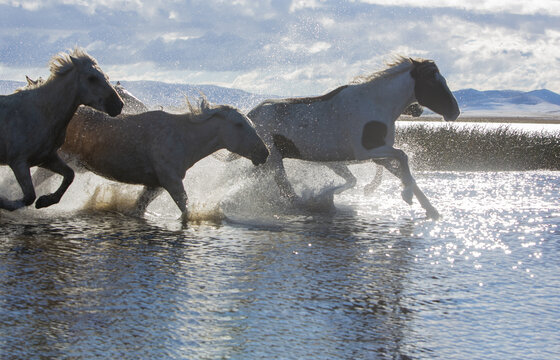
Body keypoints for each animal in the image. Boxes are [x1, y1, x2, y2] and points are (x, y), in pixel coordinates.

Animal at [0, 47, 123, 211]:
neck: (42, 112)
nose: (118, 105)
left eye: (106, 77)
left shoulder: (47, 158)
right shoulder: (18, 163)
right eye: (91, 78)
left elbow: (69, 175)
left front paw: (45, 200)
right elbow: (29, 197)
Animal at [59, 95, 270, 222]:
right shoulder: (171, 182)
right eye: (239, 124)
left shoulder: (156, 185)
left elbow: (139, 207)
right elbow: (185, 210)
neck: (184, 139)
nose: (264, 152)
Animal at [248, 57, 460, 219]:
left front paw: (431, 210)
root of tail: (251, 115)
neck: (376, 103)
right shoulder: (365, 151)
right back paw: (311, 203)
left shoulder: (378, 154)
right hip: (274, 158)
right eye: (432, 81)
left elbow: (403, 172)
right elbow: (402, 156)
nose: (455, 112)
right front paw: (405, 195)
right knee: (286, 188)